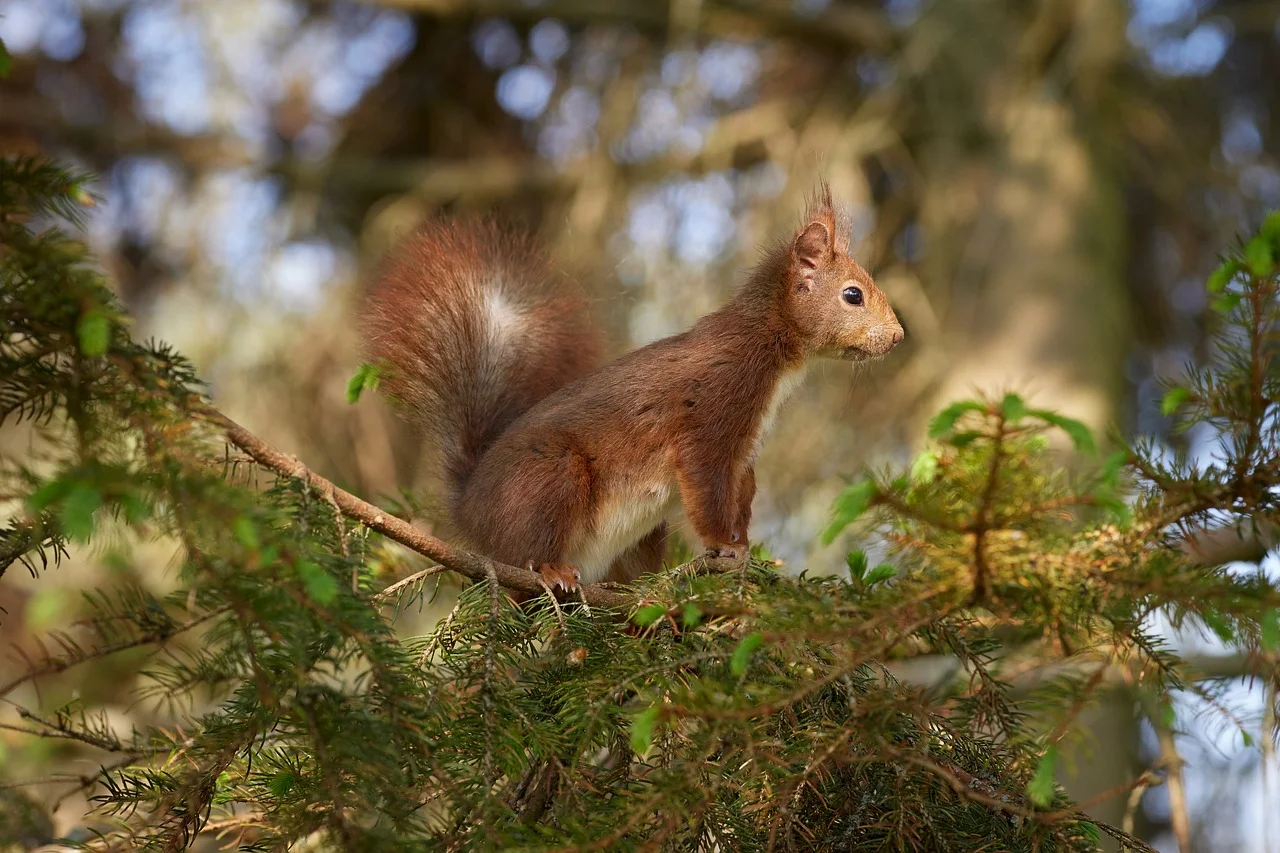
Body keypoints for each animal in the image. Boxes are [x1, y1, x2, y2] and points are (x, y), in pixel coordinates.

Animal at [361, 184, 904, 593]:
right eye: (852, 295)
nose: (898, 336)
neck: (769, 349)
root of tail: (470, 509)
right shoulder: (709, 417)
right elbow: (707, 490)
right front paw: (725, 545)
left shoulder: (745, 448)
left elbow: (743, 494)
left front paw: (748, 549)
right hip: (548, 476)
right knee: (527, 554)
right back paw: (553, 570)